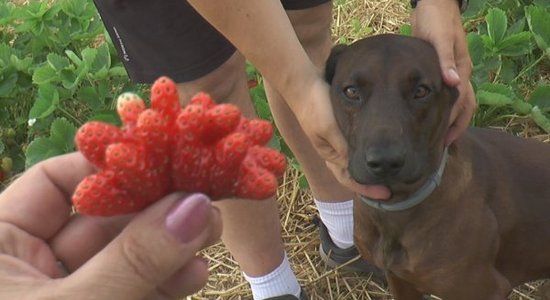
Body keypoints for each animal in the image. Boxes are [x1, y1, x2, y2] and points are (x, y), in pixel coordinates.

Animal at [326, 34, 550, 298]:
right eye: (351, 91)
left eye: (421, 91)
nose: (385, 161)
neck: (396, 210)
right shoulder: (399, 280)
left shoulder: (486, 290)